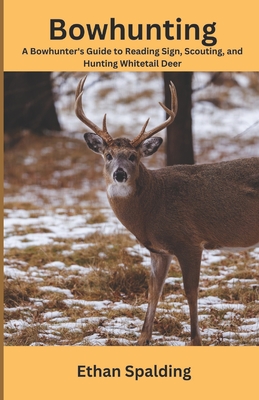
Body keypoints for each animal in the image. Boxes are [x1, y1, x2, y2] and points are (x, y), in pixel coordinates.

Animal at [75, 76, 259, 346]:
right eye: (108, 155)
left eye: (133, 156)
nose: (120, 174)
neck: (152, 205)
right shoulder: (159, 250)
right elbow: (154, 291)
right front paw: (142, 339)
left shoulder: (189, 241)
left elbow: (190, 291)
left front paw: (196, 340)